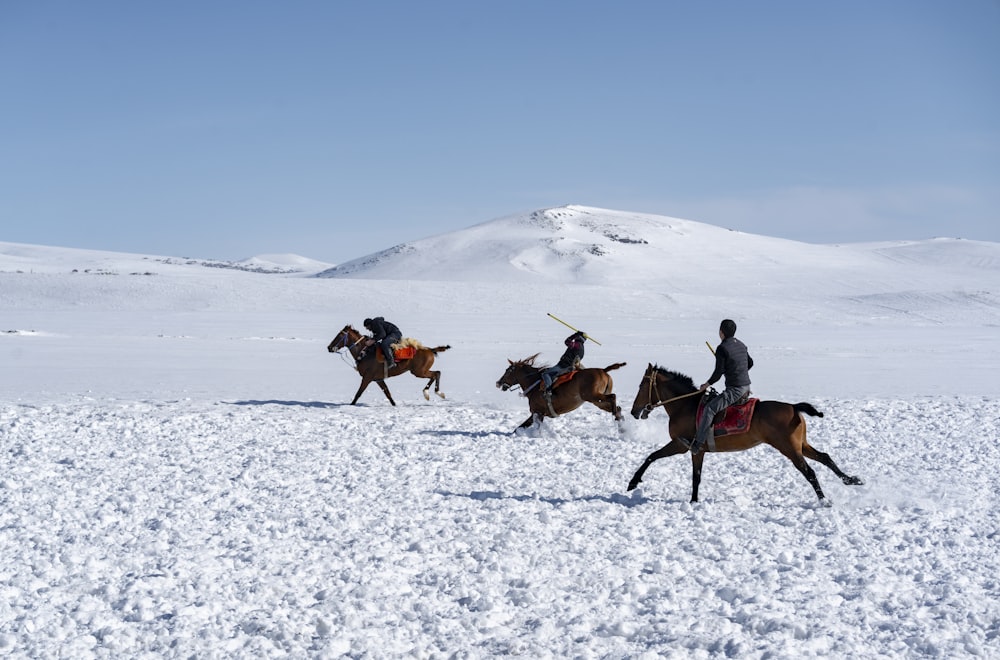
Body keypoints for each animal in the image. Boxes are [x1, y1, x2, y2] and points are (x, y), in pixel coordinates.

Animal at [498, 356, 628, 434]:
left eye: (507, 371)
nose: (498, 383)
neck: (534, 385)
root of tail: (604, 370)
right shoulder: (537, 413)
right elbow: (520, 427)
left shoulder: (538, 412)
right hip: (598, 401)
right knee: (617, 407)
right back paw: (621, 423)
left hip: (592, 396)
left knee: (613, 397)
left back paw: (616, 417)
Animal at [624, 366, 860, 500]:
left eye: (642, 385)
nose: (634, 411)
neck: (684, 405)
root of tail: (794, 407)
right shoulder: (695, 451)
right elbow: (695, 477)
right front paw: (694, 501)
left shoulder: (683, 445)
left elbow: (653, 457)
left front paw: (633, 482)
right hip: (800, 444)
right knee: (825, 457)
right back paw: (851, 480)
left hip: (789, 448)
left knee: (809, 471)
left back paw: (824, 501)